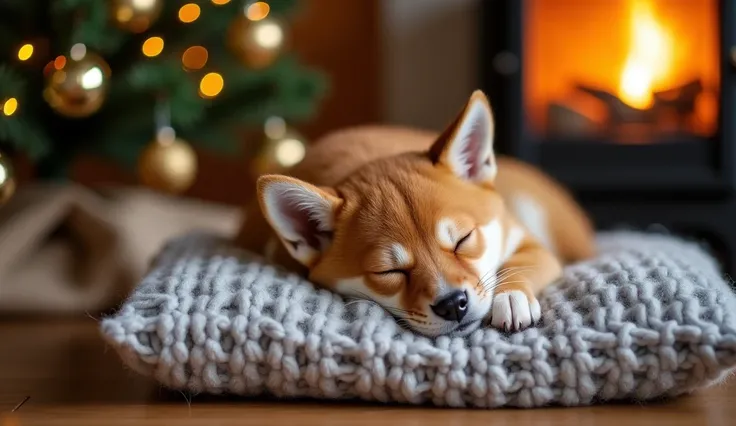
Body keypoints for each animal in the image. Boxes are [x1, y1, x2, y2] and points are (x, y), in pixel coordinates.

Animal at [236, 91, 600, 338]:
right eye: (389, 271)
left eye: (463, 240)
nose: (453, 303)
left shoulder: (528, 241)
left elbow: (523, 261)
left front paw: (511, 296)